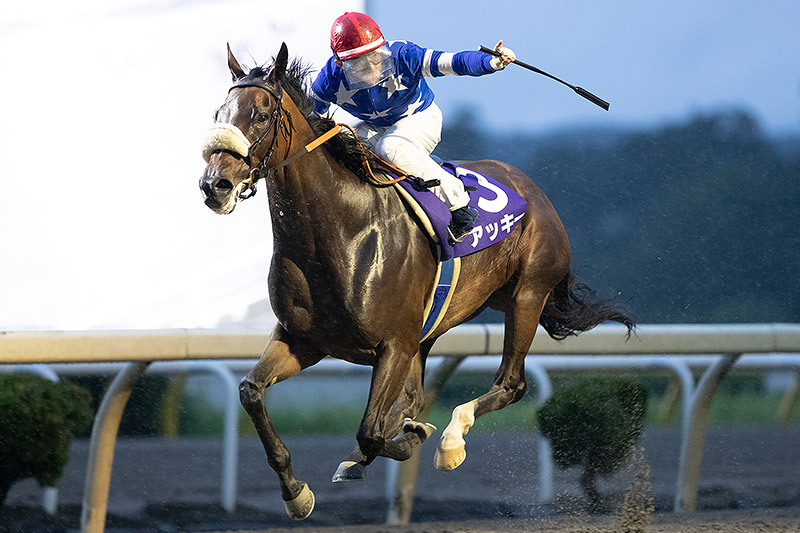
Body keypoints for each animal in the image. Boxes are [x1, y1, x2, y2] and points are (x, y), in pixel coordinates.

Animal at [199, 43, 633, 520]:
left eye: (260, 114)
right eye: (219, 112)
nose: (215, 185)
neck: (341, 232)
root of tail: (533, 190)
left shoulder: (394, 344)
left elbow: (372, 430)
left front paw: (412, 439)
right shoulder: (304, 340)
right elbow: (251, 391)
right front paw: (296, 492)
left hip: (527, 295)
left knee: (510, 383)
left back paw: (450, 441)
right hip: (439, 325)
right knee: (418, 394)